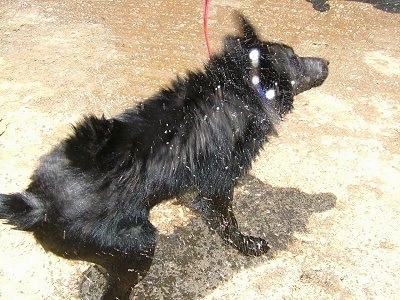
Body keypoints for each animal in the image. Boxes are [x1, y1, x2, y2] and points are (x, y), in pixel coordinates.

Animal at [0, 13, 328, 300]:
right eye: (294, 58)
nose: (326, 62)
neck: (240, 87)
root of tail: (37, 204)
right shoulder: (219, 184)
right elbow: (227, 222)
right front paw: (247, 245)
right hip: (138, 245)